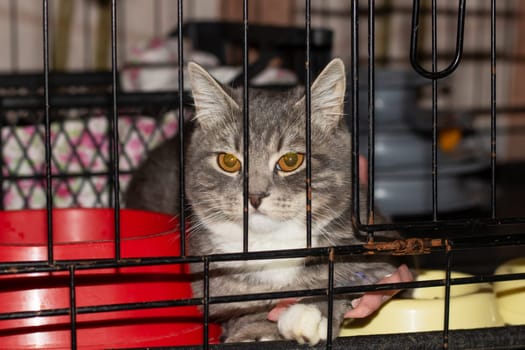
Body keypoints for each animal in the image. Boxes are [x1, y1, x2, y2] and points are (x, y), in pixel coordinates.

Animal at [126, 58, 398, 344]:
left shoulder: (380, 256)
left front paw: (309, 311)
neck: (271, 247)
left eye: (291, 160)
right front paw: (256, 330)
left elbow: (347, 279)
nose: (254, 195)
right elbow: (240, 307)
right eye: (228, 161)